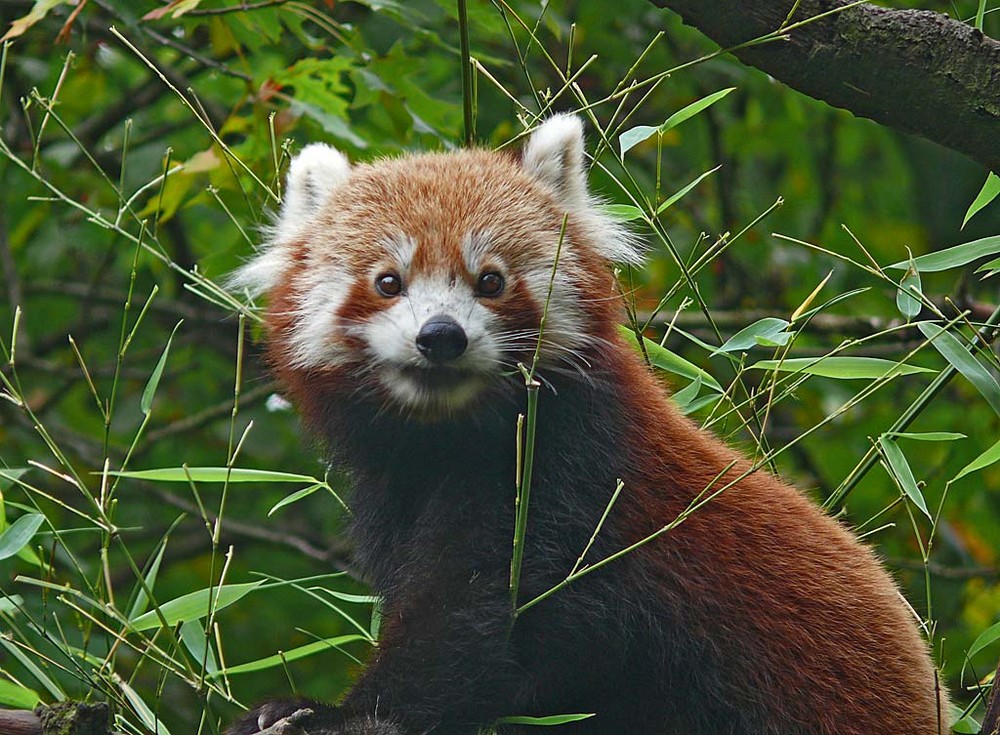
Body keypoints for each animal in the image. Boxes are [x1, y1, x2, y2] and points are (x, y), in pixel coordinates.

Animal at [229, 116, 952, 735]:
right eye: (387, 281)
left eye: (490, 280)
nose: (441, 336)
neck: (452, 436)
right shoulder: (395, 490)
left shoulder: (574, 475)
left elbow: (474, 626)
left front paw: (335, 713)